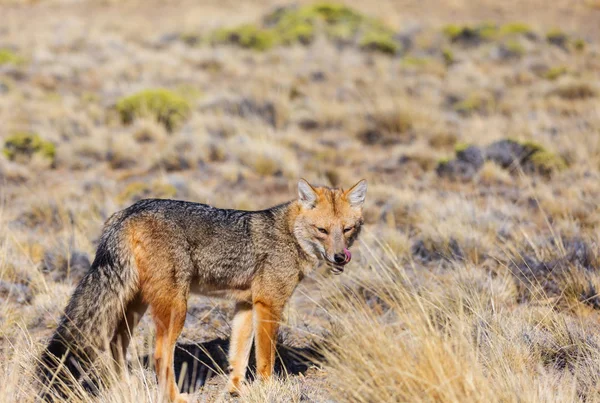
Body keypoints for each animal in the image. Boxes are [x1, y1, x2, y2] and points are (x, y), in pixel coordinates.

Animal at [37, 180, 368, 403]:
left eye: (348, 229)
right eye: (322, 231)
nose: (340, 257)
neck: (289, 234)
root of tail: (129, 211)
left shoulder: (245, 306)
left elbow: (238, 355)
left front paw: (235, 390)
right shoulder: (269, 304)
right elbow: (265, 358)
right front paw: (267, 389)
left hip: (134, 305)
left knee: (116, 344)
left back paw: (125, 388)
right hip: (176, 308)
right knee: (160, 354)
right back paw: (173, 397)